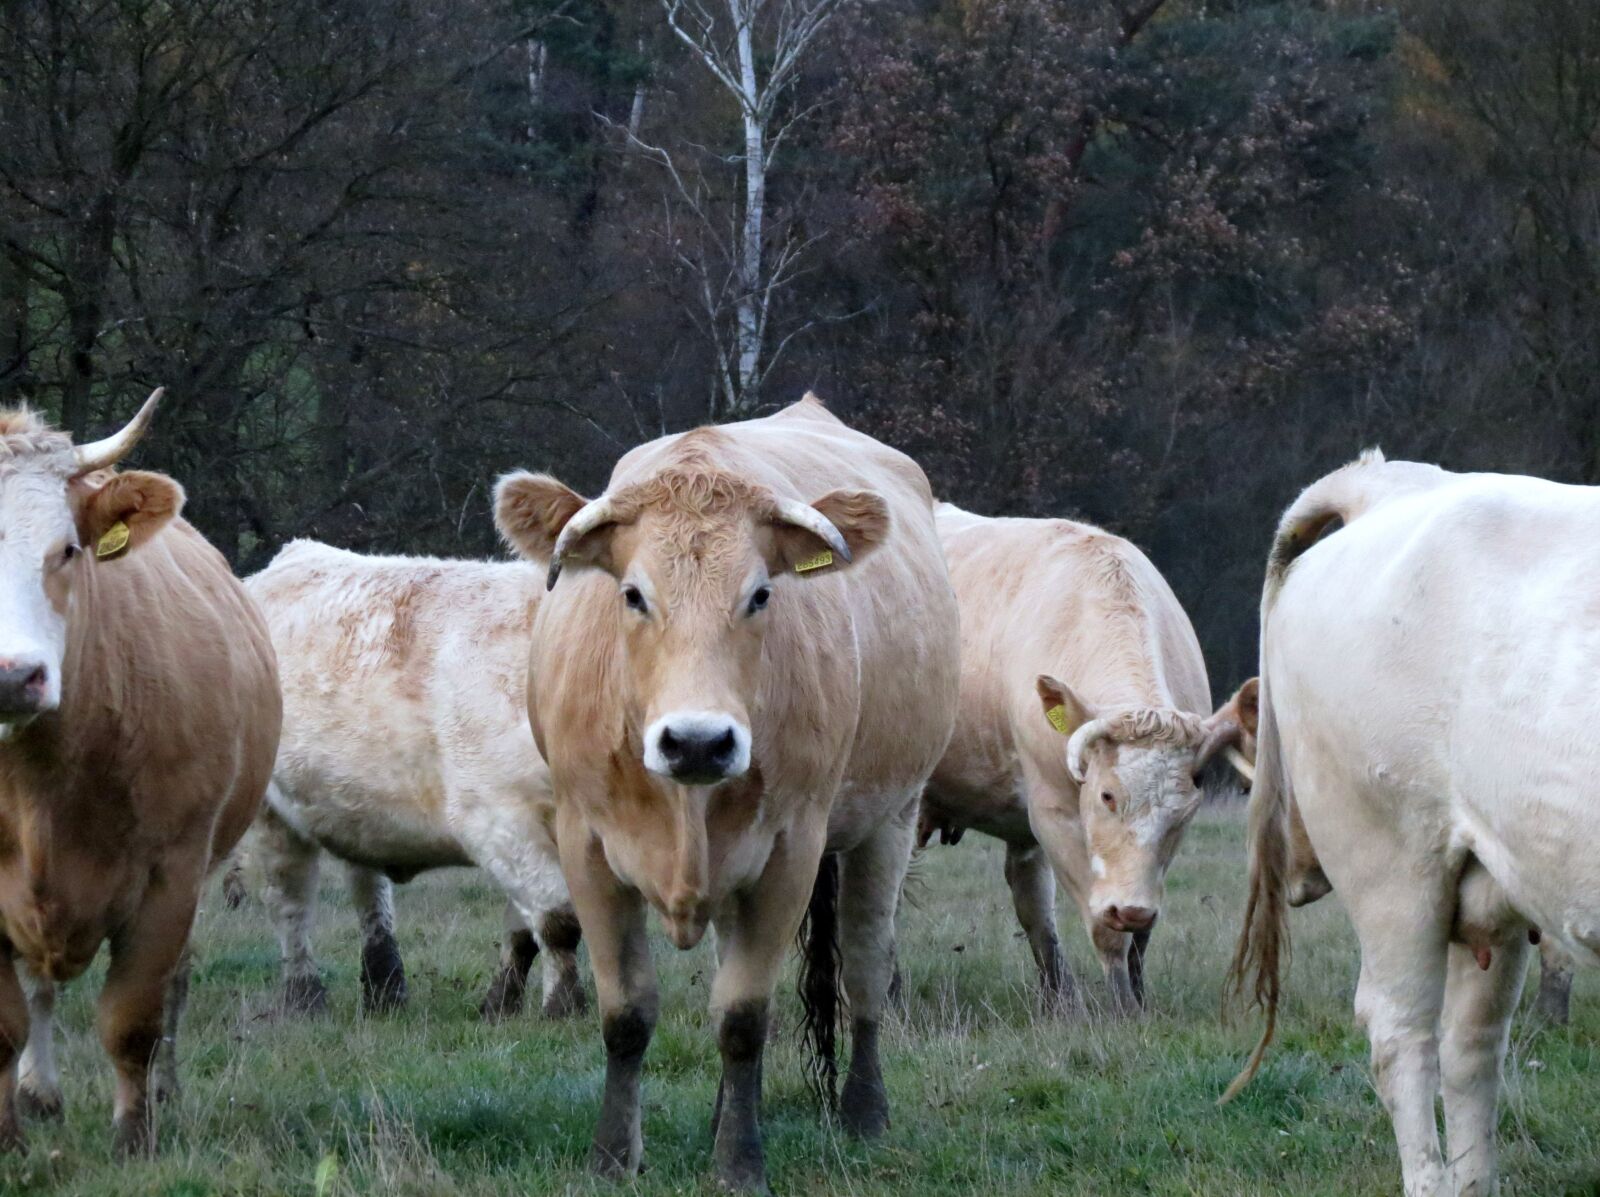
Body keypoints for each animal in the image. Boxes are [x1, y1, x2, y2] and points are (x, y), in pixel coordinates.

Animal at [0, 393, 279, 1155]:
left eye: (66, 549)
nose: (12, 675)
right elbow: (5, 1023)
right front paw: (9, 1135)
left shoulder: (171, 872)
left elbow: (134, 1017)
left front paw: (134, 1135)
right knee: (39, 988)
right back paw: (39, 1092)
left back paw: (163, 1091)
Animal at [243, 543, 584, 1020]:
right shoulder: (496, 817)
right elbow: (558, 920)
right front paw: (565, 1008)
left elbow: (523, 929)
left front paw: (499, 1006)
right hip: (270, 812)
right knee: (290, 902)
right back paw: (304, 998)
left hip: (358, 804)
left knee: (368, 890)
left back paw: (385, 988)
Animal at [492, 394, 960, 1192]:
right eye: (632, 594)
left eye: (762, 593)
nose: (698, 741)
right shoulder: (585, 846)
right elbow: (627, 1014)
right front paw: (613, 1157)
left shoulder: (791, 851)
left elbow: (743, 1017)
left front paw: (740, 1163)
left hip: (889, 820)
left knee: (867, 969)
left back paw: (864, 1112)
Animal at [920, 505, 1253, 1015]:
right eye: (1107, 795)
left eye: (1183, 812)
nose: (1130, 909)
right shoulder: (1053, 814)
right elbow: (1105, 930)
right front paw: (1121, 1010)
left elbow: (1137, 935)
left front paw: (1136, 999)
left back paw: (1058, 998)